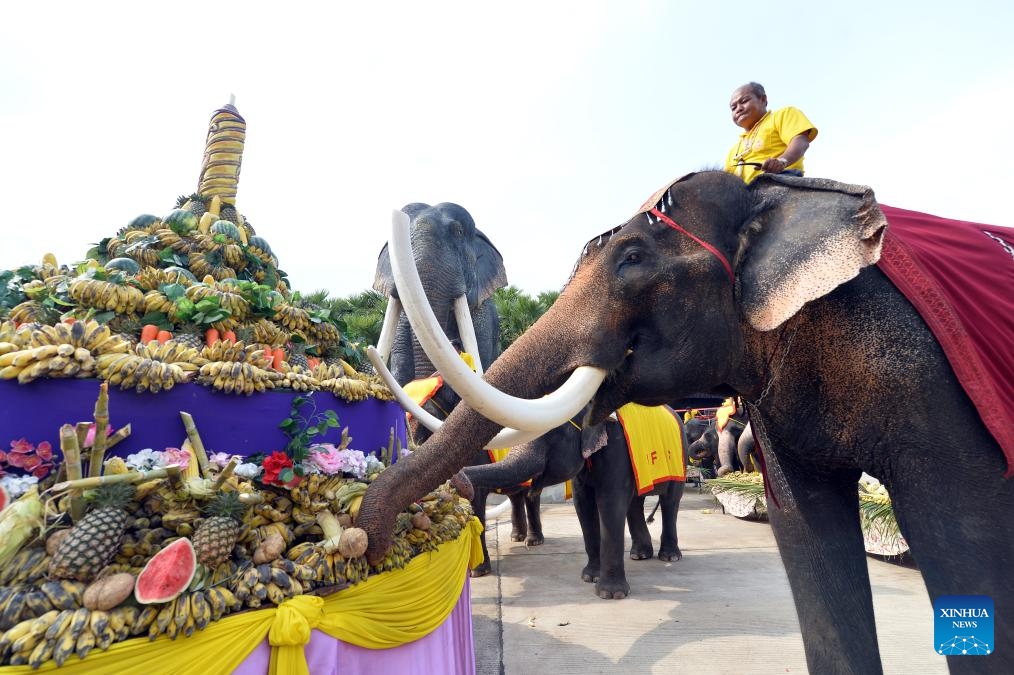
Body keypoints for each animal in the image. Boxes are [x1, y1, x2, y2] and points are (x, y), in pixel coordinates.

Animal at [463, 406, 688, 598]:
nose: (459, 475)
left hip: (680, 457)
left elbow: (611, 501)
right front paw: (589, 577)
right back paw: (639, 555)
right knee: (636, 503)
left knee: (670, 501)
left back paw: (669, 557)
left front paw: (610, 594)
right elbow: (583, 504)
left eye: (550, 433)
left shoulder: (617, 449)